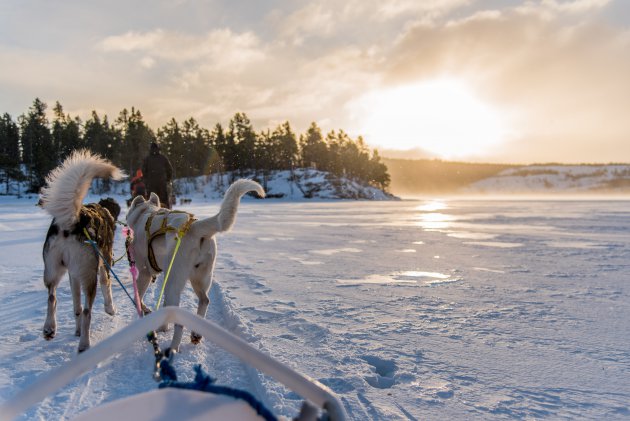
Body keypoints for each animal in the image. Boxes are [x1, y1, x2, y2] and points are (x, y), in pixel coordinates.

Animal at [40, 149, 125, 352]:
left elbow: (76, 307)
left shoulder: (74, 275)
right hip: (89, 277)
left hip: (53, 270)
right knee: (87, 311)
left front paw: (76, 330)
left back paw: (50, 328)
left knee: (52, 298)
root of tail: (76, 220)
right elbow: (107, 286)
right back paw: (84, 343)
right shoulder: (104, 264)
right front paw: (110, 309)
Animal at [127, 178, 266, 352]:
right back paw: (195, 334)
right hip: (199, 278)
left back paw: (173, 348)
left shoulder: (145, 274)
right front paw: (162, 326)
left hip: (173, 281)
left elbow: (138, 297)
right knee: (204, 300)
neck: (146, 214)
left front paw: (144, 313)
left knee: (179, 319)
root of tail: (194, 227)